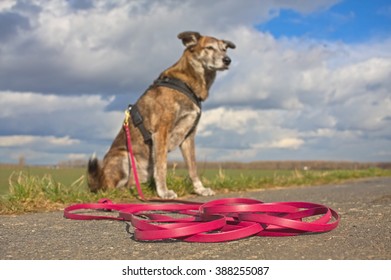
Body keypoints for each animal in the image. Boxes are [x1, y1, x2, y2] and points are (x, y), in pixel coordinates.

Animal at [88, 31, 236, 199]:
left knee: (132, 183)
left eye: (225, 49)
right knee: (109, 188)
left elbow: (192, 167)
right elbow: (162, 166)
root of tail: (99, 180)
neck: (187, 84)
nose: (227, 60)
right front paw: (164, 192)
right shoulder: (161, 131)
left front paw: (200, 189)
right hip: (123, 156)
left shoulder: (189, 136)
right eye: (209, 48)